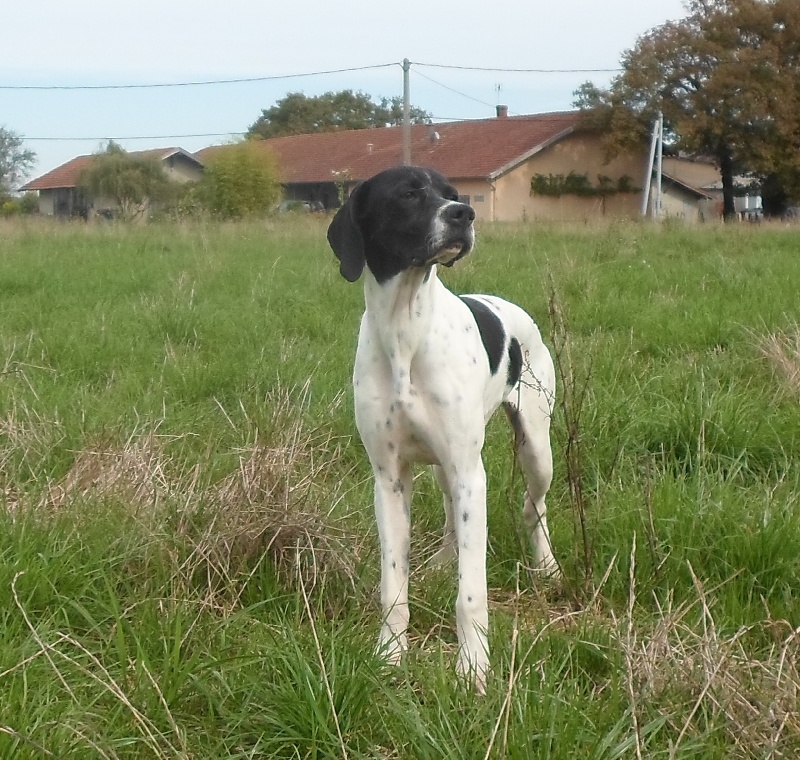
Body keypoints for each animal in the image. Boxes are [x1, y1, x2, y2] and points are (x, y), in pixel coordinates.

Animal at [324, 166, 556, 696]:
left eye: (452, 193)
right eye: (408, 193)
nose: (464, 214)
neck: (405, 327)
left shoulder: (471, 473)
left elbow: (471, 594)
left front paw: (473, 668)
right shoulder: (389, 478)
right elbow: (393, 585)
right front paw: (390, 657)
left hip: (535, 447)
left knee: (534, 506)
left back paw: (547, 567)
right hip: (446, 469)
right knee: (453, 519)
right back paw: (441, 562)